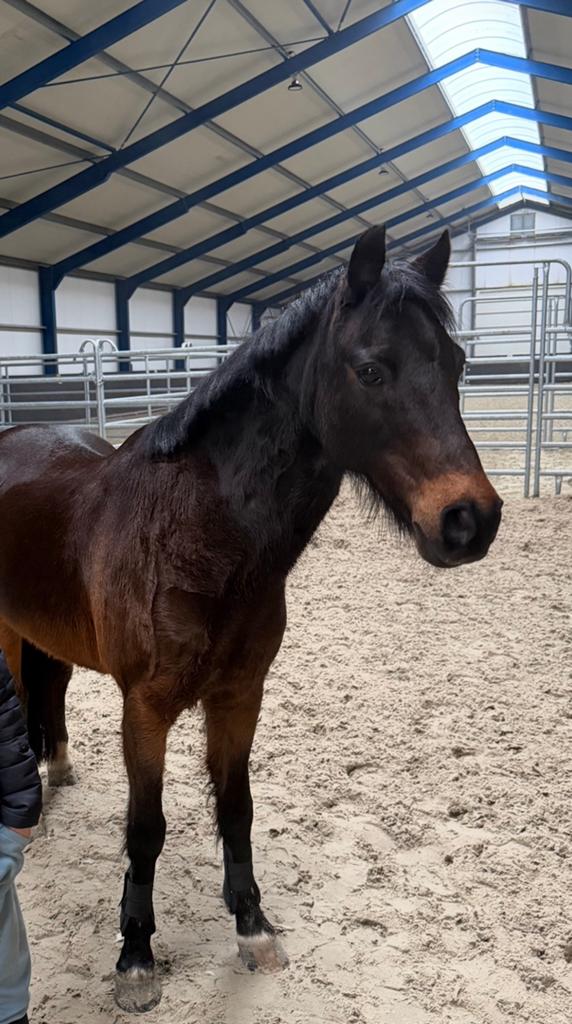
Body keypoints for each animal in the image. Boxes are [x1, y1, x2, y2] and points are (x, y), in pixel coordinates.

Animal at [0, 226, 502, 1012]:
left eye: (455, 363)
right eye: (371, 370)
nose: (469, 520)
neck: (201, 537)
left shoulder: (240, 696)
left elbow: (236, 808)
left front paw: (253, 928)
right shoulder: (145, 709)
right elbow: (146, 828)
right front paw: (136, 957)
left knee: (46, 693)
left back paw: (58, 770)